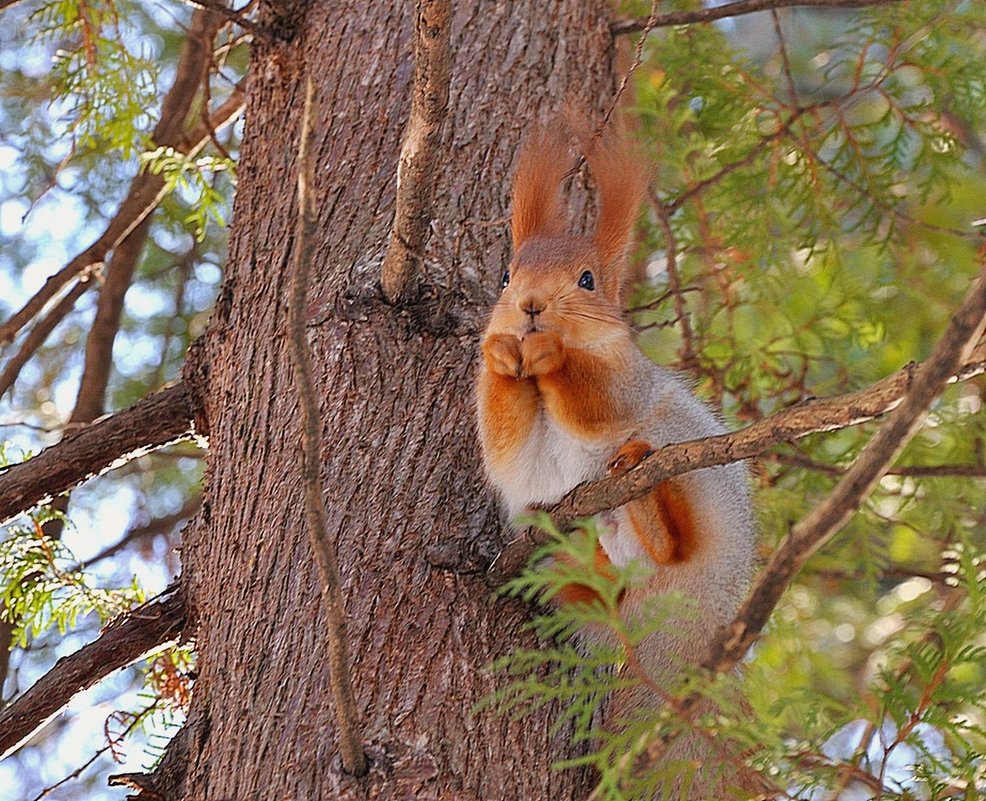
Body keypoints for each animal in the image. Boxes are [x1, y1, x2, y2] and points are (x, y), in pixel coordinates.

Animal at [472, 122, 756, 796]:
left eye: (587, 281)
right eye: (506, 277)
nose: (530, 306)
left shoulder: (627, 381)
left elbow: (595, 400)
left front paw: (552, 355)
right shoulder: (513, 449)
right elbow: (504, 443)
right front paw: (500, 354)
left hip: (691, 470)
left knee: (674, 542)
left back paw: (643, 492)